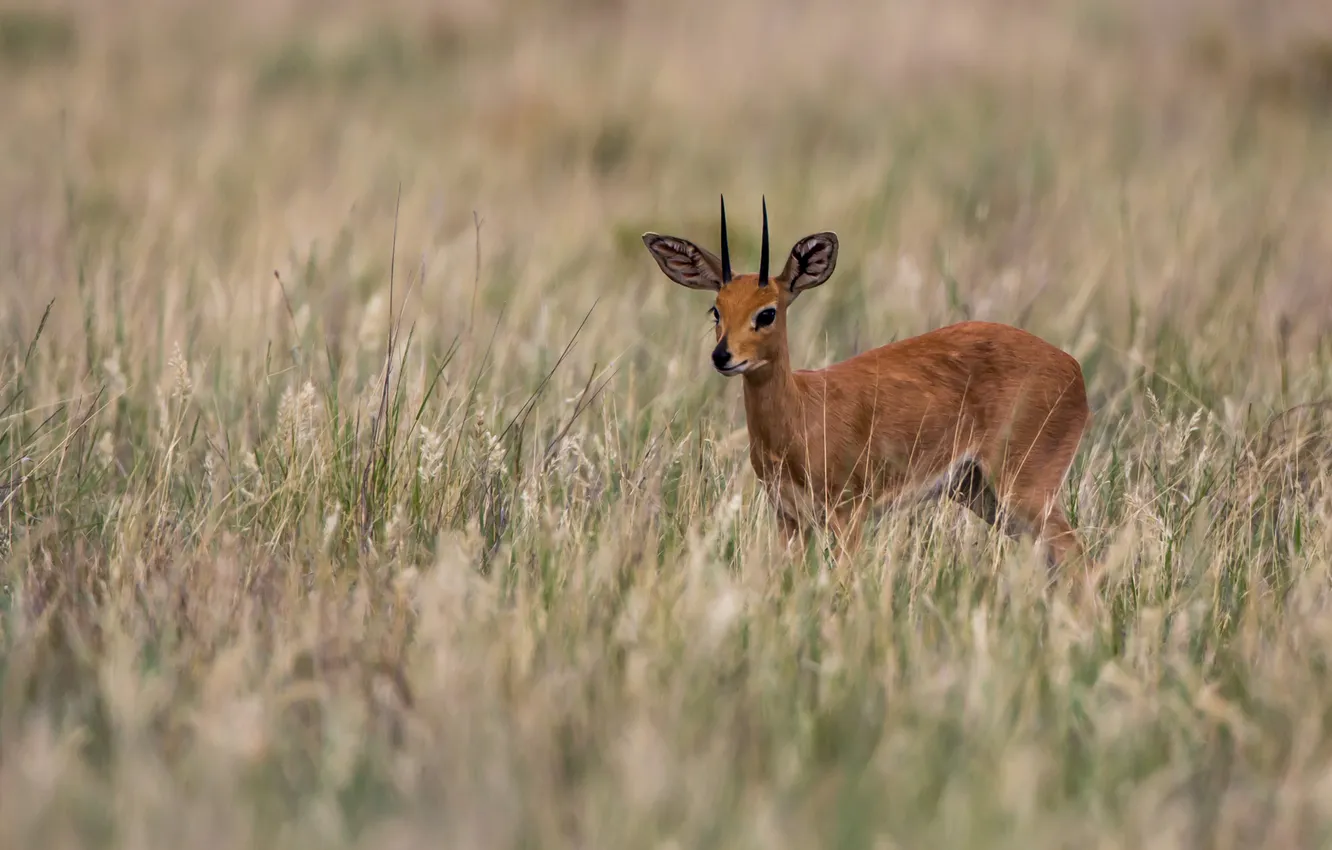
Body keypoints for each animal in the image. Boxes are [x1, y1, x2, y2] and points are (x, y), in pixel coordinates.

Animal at [644, 197, 1092, 575]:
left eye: (767, 312)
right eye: (716, 309)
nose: (723, 356)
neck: (801, 414)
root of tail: (1074, 369)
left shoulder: (849, 513)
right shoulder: (789, 518)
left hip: (1024, 487)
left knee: (1075, 552)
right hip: (983, 493)